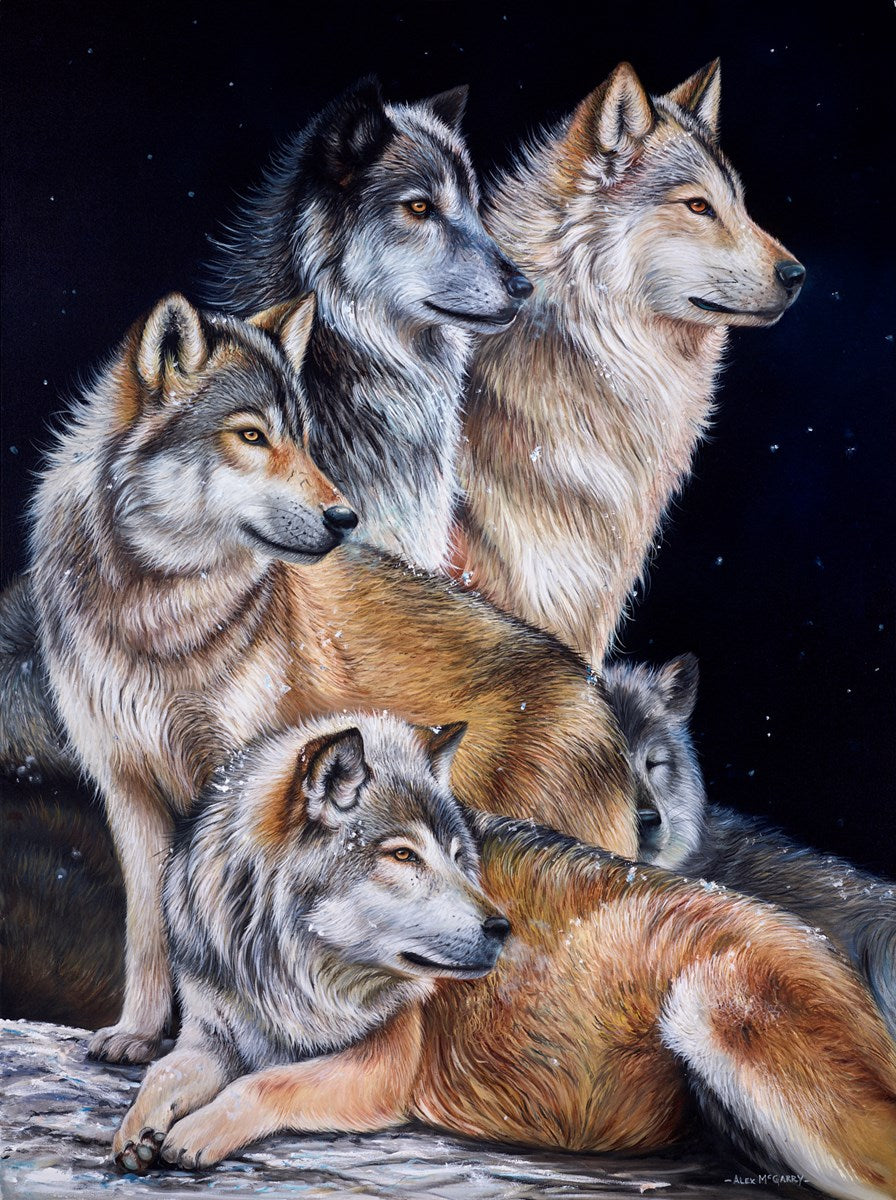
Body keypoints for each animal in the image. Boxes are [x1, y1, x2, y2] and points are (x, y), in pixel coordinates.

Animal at [25, 290, 635, 1064]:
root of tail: (592, 689)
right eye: (251, 436)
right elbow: (147, 932)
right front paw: (136, 1034)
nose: (344, 517)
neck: (156, 618)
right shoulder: (127, 789)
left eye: (308, 441)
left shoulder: (234, 779)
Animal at [112, 736, 896, 1199]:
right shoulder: (216, 1034)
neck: (286, 971)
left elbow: (265, 1084)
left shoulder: (383, 1070)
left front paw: (194, 1133)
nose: (501, 928)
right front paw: (140, 1125)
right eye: (402, 856)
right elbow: (167, 1072)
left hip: (710, 1009)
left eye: (461, 857)